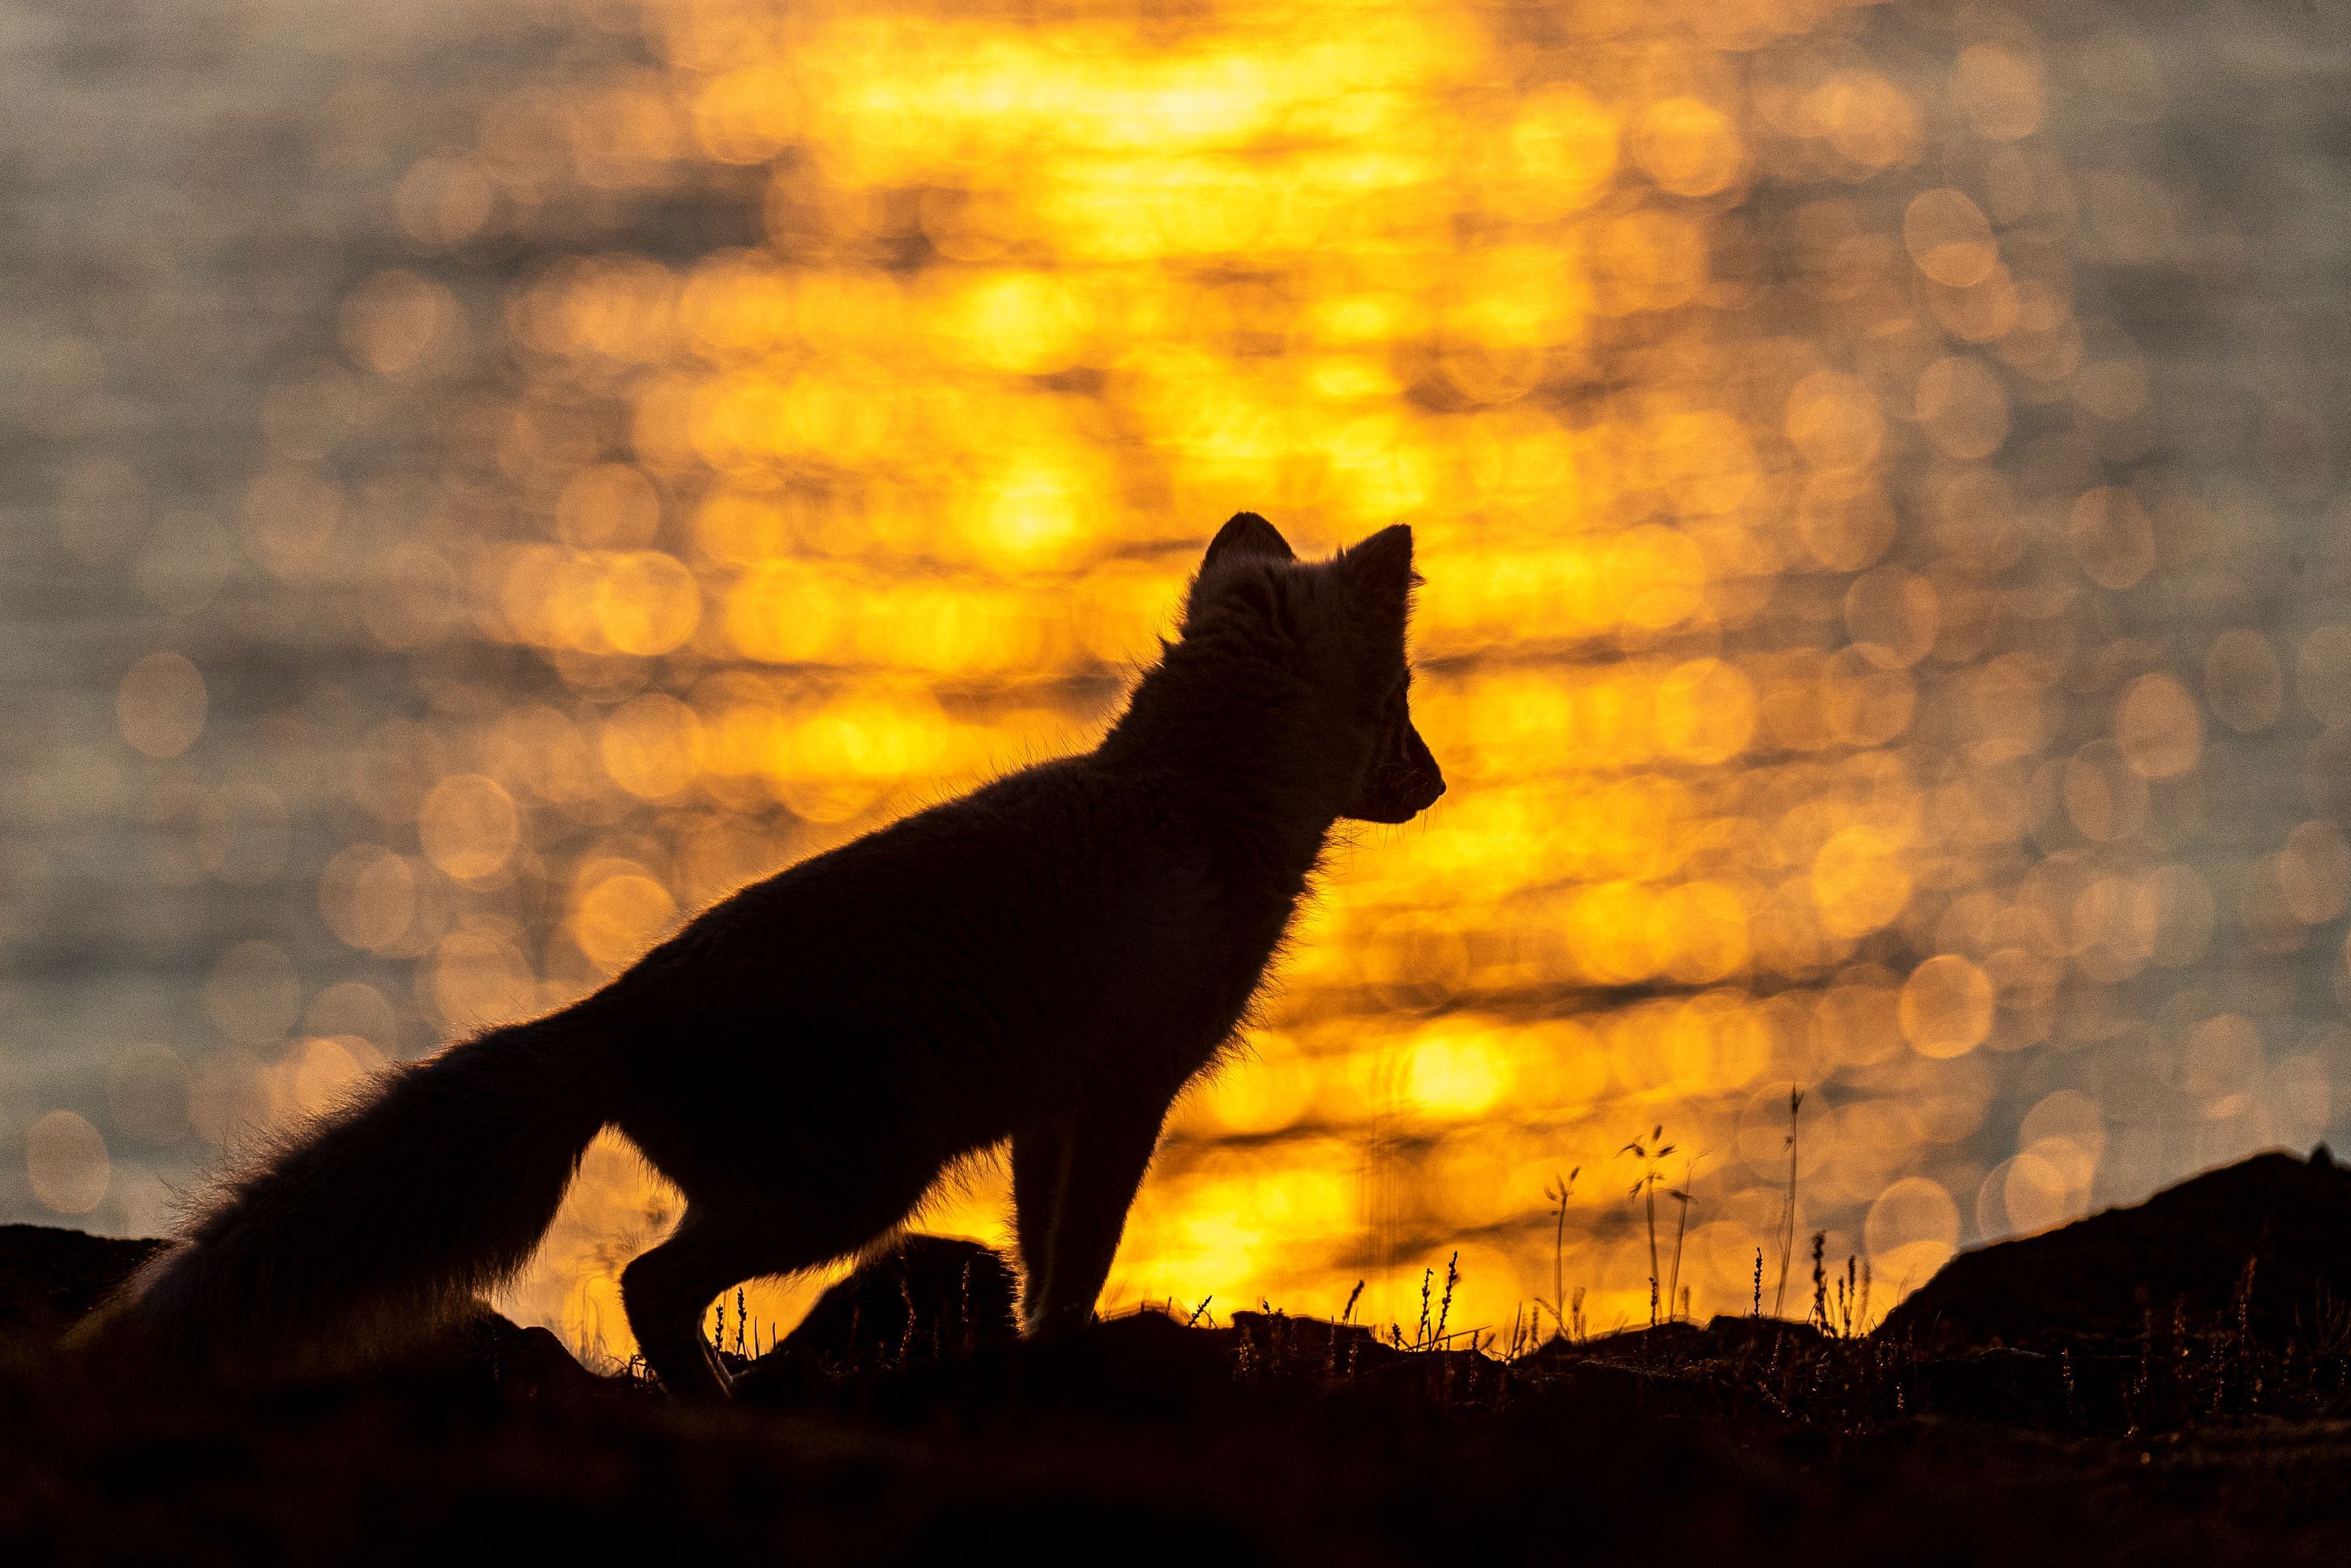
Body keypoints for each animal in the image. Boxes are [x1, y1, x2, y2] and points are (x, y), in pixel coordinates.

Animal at [104, 512, 1444, 1399]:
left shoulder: (1051, 1106)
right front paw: (1073, 1350)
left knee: (657, 1283)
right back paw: (718, 1411)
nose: (1437, 787)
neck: (1192, 801)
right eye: (1406, 703)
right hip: (857, 1187)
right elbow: (1083, 1256)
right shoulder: (1128, 1088)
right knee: (647, 1281)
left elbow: (1032, 1258)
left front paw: (1028, 1346)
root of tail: (608, 1012)